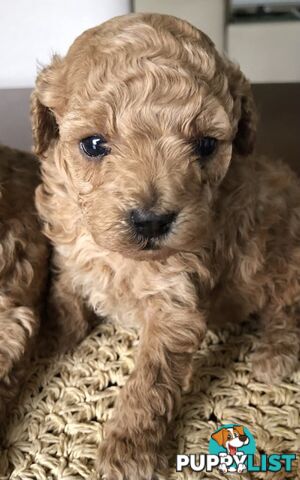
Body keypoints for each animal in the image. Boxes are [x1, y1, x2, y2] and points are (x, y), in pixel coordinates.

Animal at [31, 13, 300, 478]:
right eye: (93, 144)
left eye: (206, 145)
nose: (152, 221)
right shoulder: (69, 249)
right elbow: (65, 288)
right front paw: (54, 334)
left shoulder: (175, 301)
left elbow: (151, 381)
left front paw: (129, 450)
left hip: (284, 257)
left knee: (287, 308)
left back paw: (274, 354)